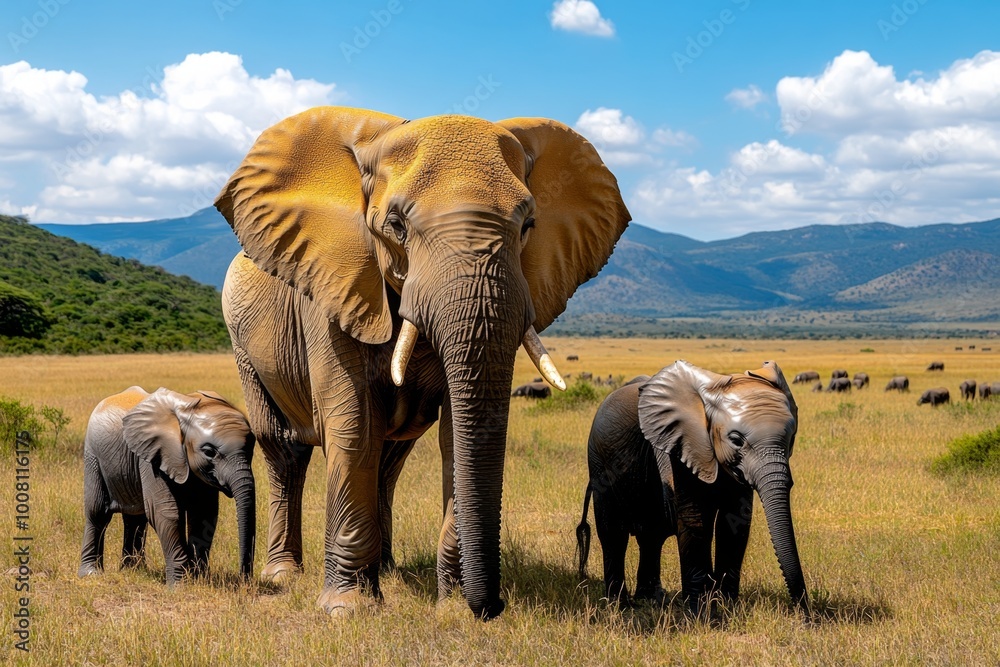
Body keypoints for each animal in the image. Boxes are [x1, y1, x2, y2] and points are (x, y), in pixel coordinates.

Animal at [78, 387, 256, 585]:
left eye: (252, 447)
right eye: (209, 452)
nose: (245, 581)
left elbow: (203, 514)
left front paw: (198, 580)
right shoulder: (152, 457)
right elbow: (166, 512)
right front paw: (181, 585)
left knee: (135, 518)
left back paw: (134, 571)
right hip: (93, 456)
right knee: (97, 513)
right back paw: (91, 574)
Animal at [215, 106, 630, 619]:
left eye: (528, 225)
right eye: (396, 224)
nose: (493, 606)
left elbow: (456, 433)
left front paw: (452, 609)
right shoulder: (333, 287)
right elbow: (353, 427)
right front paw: (347, 610)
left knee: (389, 457)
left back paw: (388, 570)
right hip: (243, 341)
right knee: (284, 448)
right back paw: (285, 575)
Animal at [575, 361, 810, 616]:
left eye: (792, 438)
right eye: (736, 440)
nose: (805, 614)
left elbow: (734, 522)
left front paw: (726, 606)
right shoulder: (681, 446)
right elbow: (696, 518)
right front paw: (701, 613)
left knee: (650, 537)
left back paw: (650, 599)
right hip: (599, 464)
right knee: (613, 534)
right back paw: (619, 605)